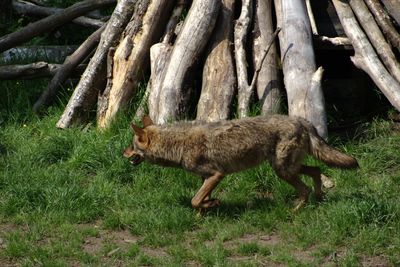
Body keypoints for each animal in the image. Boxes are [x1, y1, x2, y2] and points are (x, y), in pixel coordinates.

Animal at [123, 115, 358, 211]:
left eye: (131, 144)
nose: (122, 152)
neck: (177, 144)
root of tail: (302, 120)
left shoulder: (217, 174)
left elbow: (195, 200)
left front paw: (212, 204)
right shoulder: (206, 177)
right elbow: (200, 200)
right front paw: (207, 209)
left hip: (282, 170)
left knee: (305, 188)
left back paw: (295, 211)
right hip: (287, 168)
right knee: (317, 171)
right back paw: (319, 198)